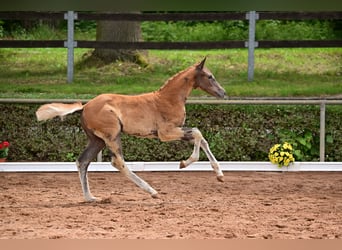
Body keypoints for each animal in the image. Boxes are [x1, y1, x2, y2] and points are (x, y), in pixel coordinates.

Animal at [36, 57, 227, 202]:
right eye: (210, 76)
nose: (223, 93)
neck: (168, 99)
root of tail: (84, 107)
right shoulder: (165, 133)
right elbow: (197, 133)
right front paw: (184, 163)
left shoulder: (177, 130)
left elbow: (200, 137)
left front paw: (219, 175)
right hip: (112, 135)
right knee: (118, 162)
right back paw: (151, 191)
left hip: (97, 140)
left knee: (83, 161)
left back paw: (91, 198)